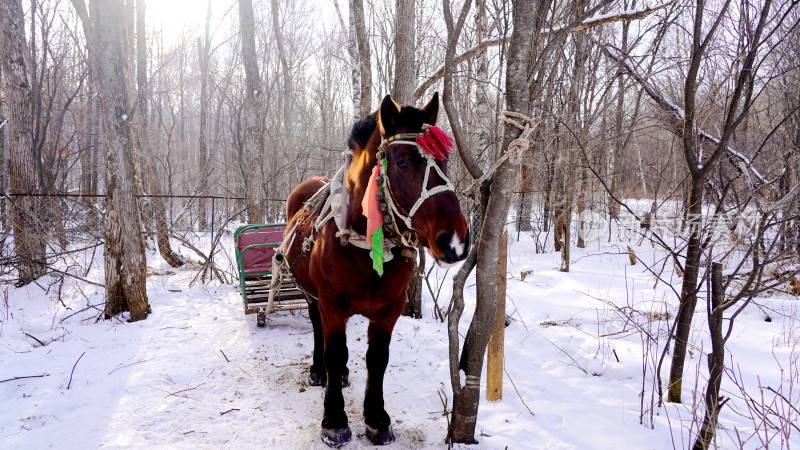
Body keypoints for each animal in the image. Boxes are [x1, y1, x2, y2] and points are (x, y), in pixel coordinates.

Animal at [282, 93, 468, 444]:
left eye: (445, 163)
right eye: (403, 163)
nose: (454, 241)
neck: (366, 247)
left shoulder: (390, 308)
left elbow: (377, 359)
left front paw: (377, 419)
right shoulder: (332, 303)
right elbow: (334, 352)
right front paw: (334, 421)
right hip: (312, 295)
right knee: (318, 329)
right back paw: (319, 371)